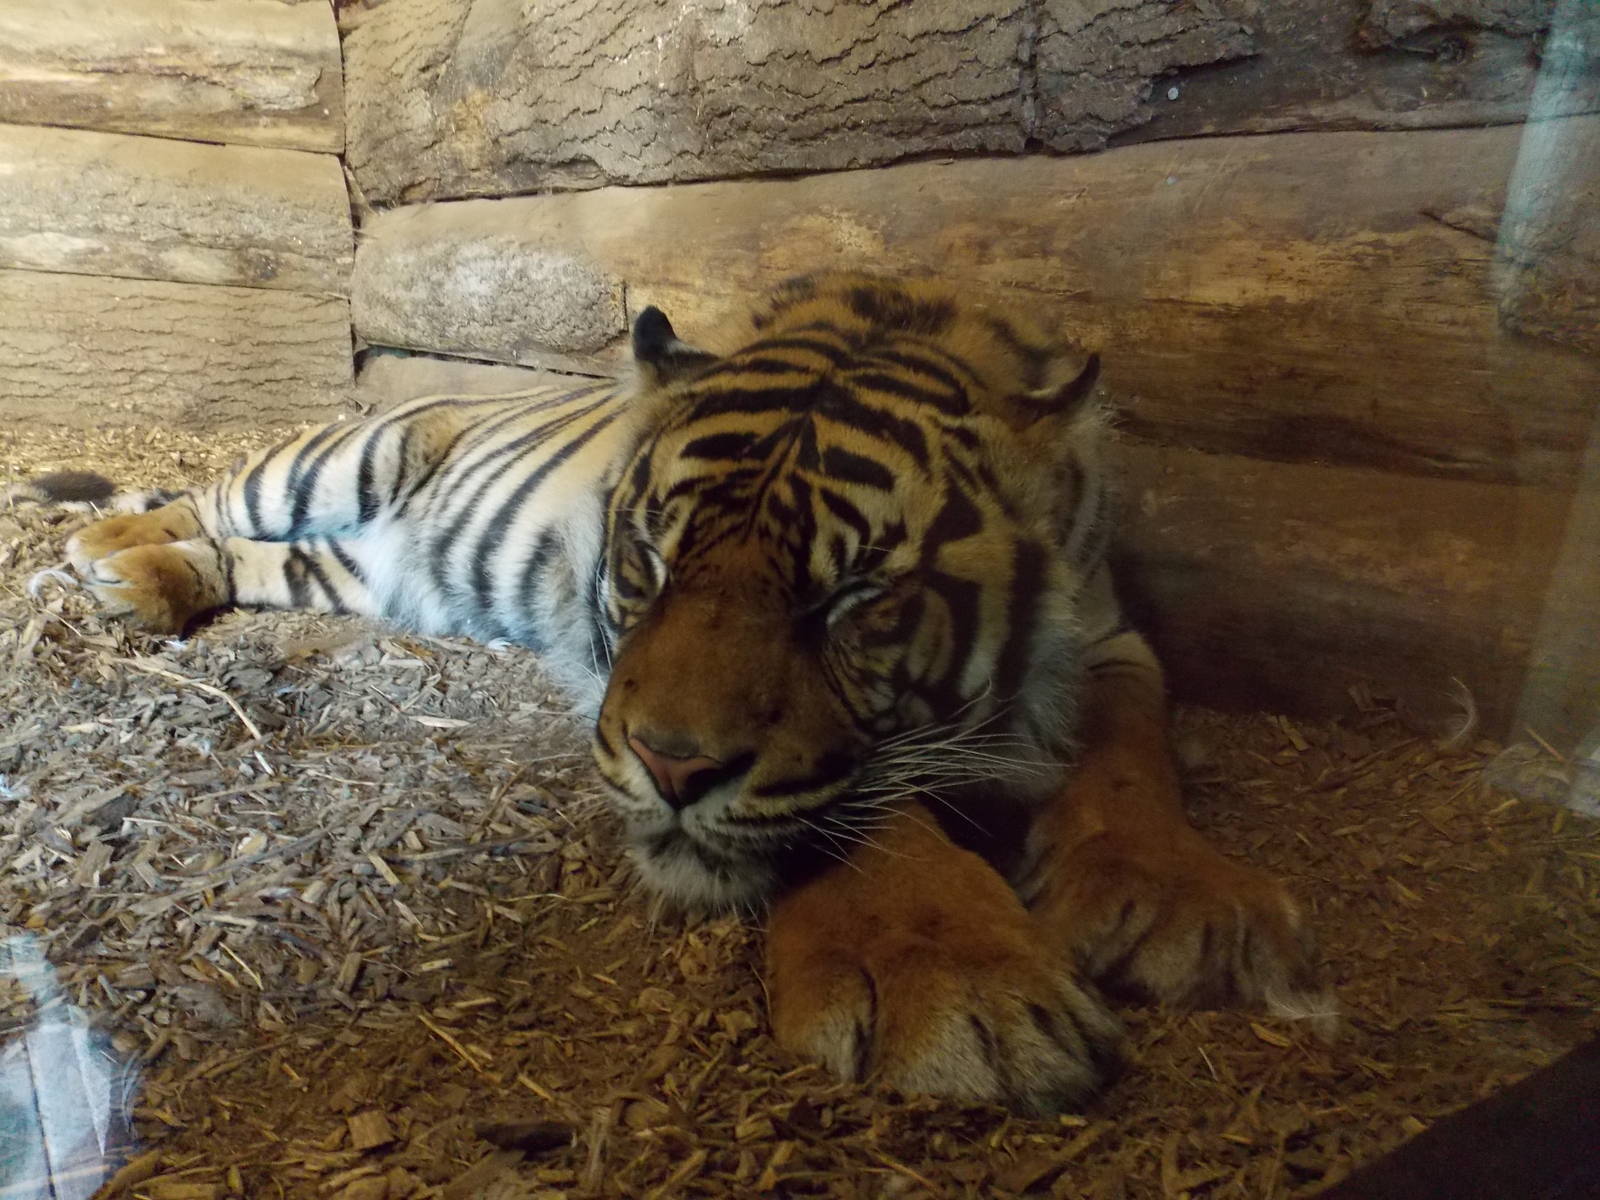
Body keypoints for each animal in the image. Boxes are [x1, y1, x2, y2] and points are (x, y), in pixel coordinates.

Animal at [53, 274, 1326, 1114]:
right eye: (650, 563)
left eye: (852, 597)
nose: (672, 765)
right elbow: (867, 813)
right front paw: (962, 984)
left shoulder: (1109, 638)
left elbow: (1130, 756)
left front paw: (1177, 904)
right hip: (329, 464)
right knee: (211, 495)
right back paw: (111, 553)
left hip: (354, 572)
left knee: (252, 560)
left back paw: (146, 577)